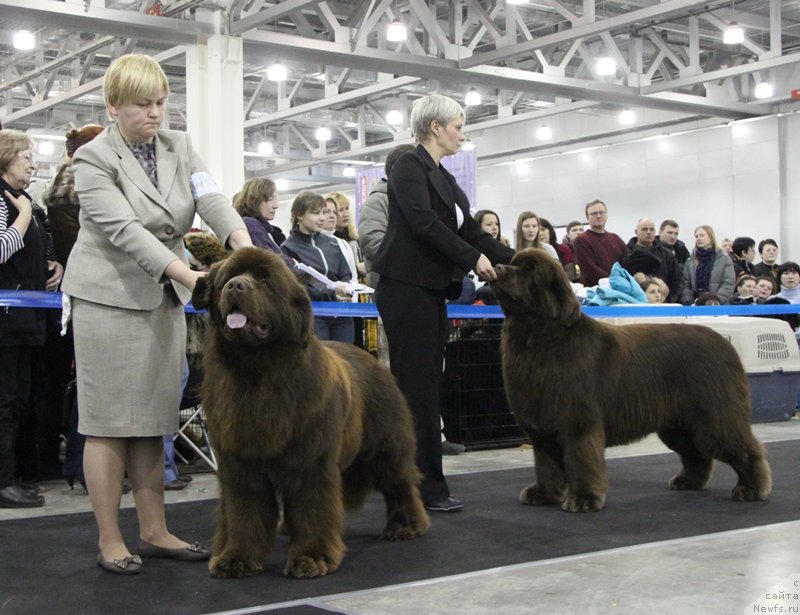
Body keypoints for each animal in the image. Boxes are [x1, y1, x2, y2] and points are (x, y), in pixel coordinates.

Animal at [192, 248, 432, 580]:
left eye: (265, 282)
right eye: (227, 278)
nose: (235, 286)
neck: (255, 370)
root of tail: (374, 360)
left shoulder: (310, 460)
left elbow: (312, 509)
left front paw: (311, 558)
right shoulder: (240, 463)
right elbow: (244, 512)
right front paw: (237, 558)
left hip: (385, 447)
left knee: (400, 484)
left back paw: (407, 526)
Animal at [490, 250, 772, 516]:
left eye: (529, 272)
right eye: (514, 264)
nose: (497, 267)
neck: (537, 339)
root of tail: (725, 344)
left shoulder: (578, 424)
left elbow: (581, 462)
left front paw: (583, 500)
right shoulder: (542, 430)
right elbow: (546, 466)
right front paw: (543, 494)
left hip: (716, 416)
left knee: (746, 449)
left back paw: (751, 489)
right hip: (679, 425)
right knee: (696, 455)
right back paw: (688, 482)